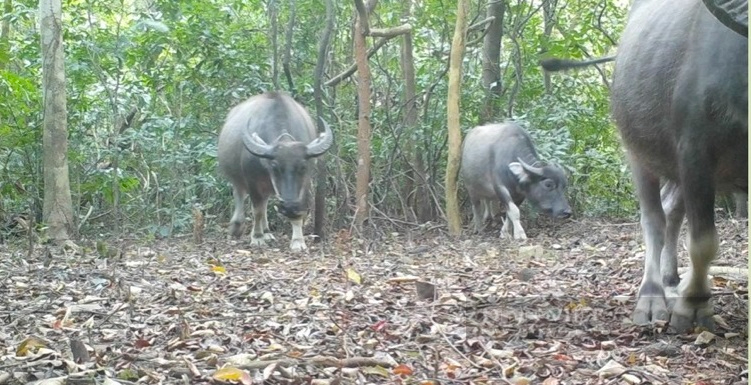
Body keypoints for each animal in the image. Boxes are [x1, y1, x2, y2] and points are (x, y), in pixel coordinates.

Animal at [217, 91, 334, 250]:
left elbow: (298, 209)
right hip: (236, 178)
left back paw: (267, 232)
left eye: (303, 166)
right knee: (240, 195)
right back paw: (237, 227)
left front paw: (298, 240)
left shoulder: (305, 182)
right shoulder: (252, 181)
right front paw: (257, 237)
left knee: (265, 202)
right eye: (275, 167)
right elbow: (257, 210)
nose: (289, 207)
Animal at [540, 0, 748, 330]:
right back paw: (652, 297)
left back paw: (671, 279)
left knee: (672, 210)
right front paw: (693, 306)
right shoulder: (694, 150)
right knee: (654, 219)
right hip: (638, 153)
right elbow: (703, 241)